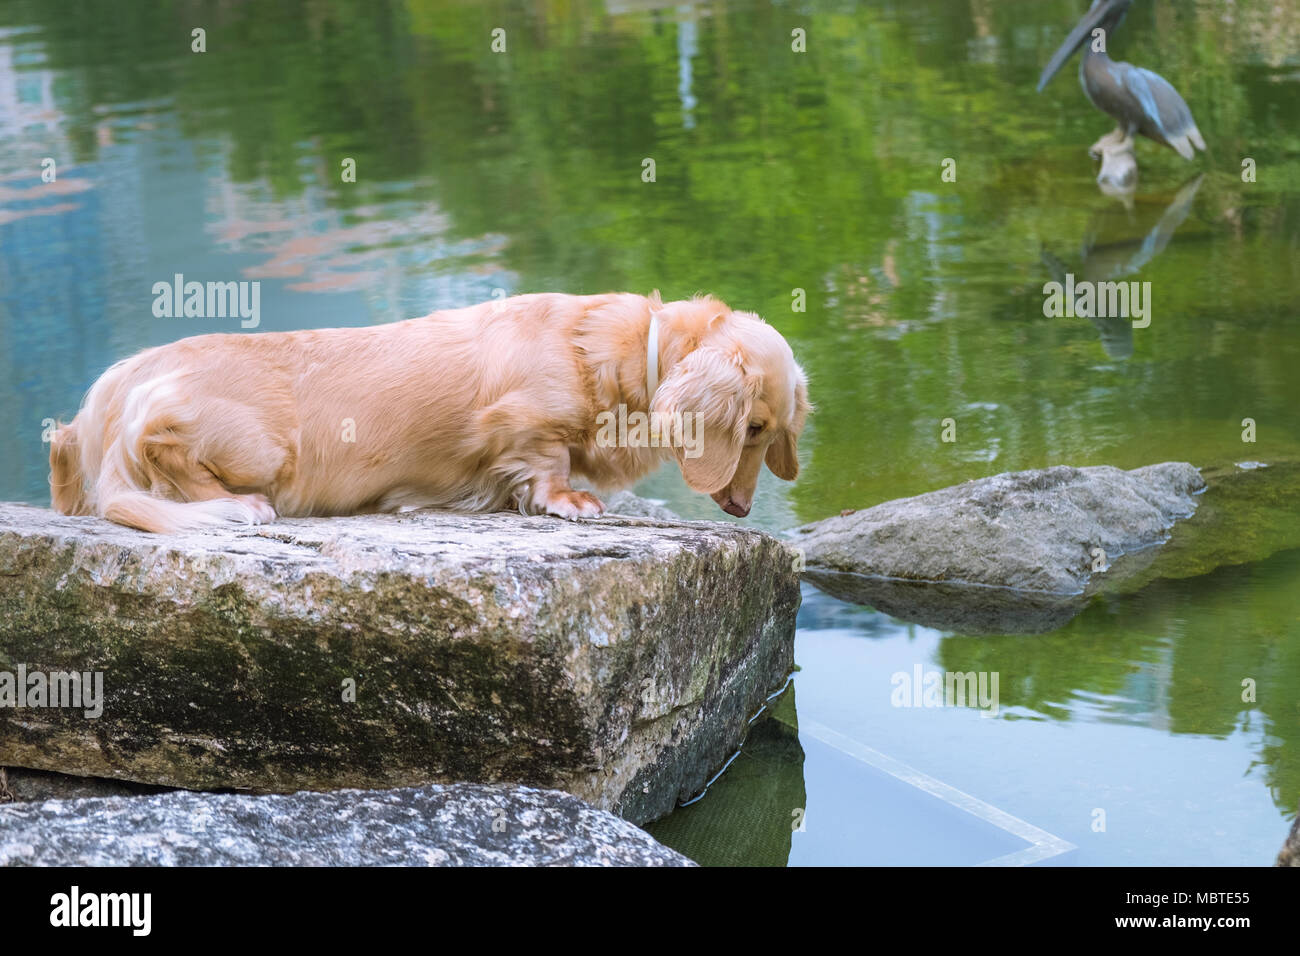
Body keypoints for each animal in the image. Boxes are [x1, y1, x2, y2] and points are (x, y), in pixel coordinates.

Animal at [53, 291, 811, 530]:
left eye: (772, 433)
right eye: (751, 428)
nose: (742, 508)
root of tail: (118, 394)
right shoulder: (525, 429)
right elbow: (544, 466)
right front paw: (571, 500)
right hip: (254, 447)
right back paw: (242, 506)